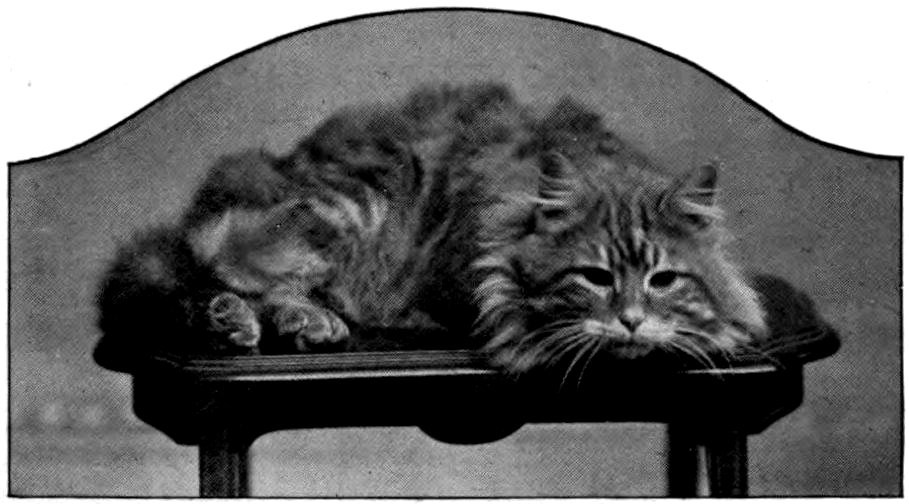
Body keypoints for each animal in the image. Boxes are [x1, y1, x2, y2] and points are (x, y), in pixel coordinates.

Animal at [96, 82, 767, 380]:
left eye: (663, 279)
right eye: (595, 277)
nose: (630, 320)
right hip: (339, 204)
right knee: (210, 275)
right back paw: (256, 319)